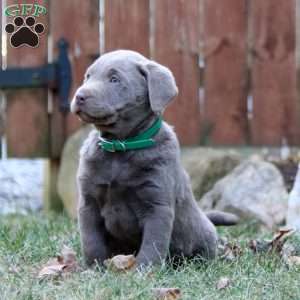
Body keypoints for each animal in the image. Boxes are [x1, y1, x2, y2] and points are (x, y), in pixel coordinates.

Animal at [70, 49, 237, 268]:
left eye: (114, 79)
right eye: (88, 77)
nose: (79, 96)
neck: (121, 146)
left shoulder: (157, 206)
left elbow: (153, 242)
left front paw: (144, 269)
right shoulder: (88, 202)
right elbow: (91, 240)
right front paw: (94, 267)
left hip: (204, 236)